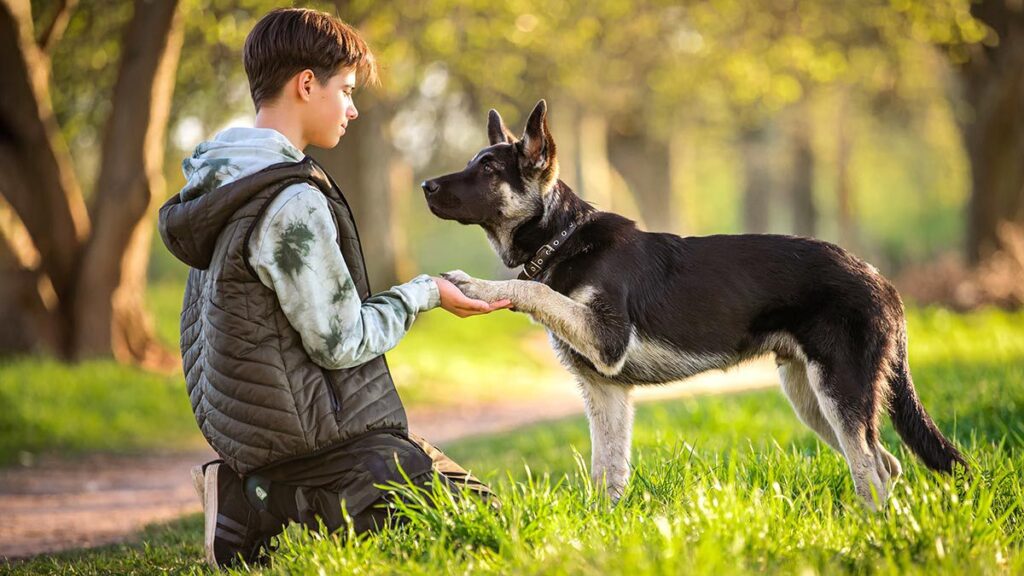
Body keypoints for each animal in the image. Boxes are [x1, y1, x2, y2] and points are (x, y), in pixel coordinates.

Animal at [419, 98, 962, 506]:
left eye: (488, 167)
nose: (424, 185)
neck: (561, 237)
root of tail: (882, 281)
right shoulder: (606, 393)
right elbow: (606, 474)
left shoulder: (606, 340)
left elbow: (531, 289)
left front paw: (475, 285)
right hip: (809, 396)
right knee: (884, 464)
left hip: (839, 391)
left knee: (871, 469)